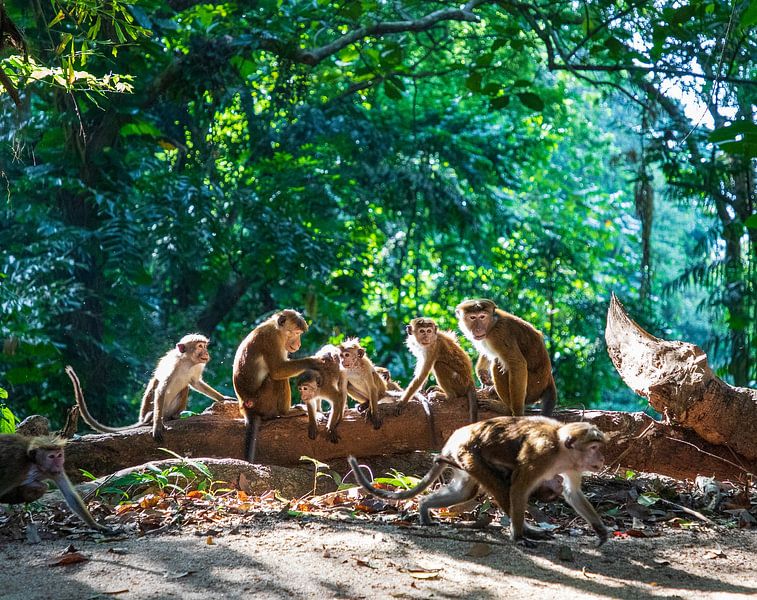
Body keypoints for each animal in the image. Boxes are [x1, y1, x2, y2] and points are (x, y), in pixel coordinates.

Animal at [67, 334, 234, 444]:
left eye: (204, 346)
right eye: (200, 346)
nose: (206, 352)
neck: (187, 361)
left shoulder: (197, 367)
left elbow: (195, 383)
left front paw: (223, 398)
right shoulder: (172, 366)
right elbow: (161, 388)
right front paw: (157, 426)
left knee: (185, 388)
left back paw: (174, 416)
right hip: (153, 410)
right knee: (155, 383)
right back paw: (154, 419)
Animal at [233, 309, 324, 463]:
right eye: (296, 333)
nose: (299, 344)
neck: (276, 328)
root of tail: (247, 409)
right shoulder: (272, 339)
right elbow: (278, 371)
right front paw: (313, 362)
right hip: (262, 401)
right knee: (275, 378)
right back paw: (286, 412)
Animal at [348, 416, 607, 546]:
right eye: (594, 447)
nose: (602, 459)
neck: (562, 451)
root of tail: (455, 436)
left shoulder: (573, 467)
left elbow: (572, 493)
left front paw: (601, 531)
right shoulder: (540, 454)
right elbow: (519, 488)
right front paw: (519, 536)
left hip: (463, 460)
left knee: (465, 492)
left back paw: (423, 507)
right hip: (469, 452)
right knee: (502, 487)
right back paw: (525, 530)